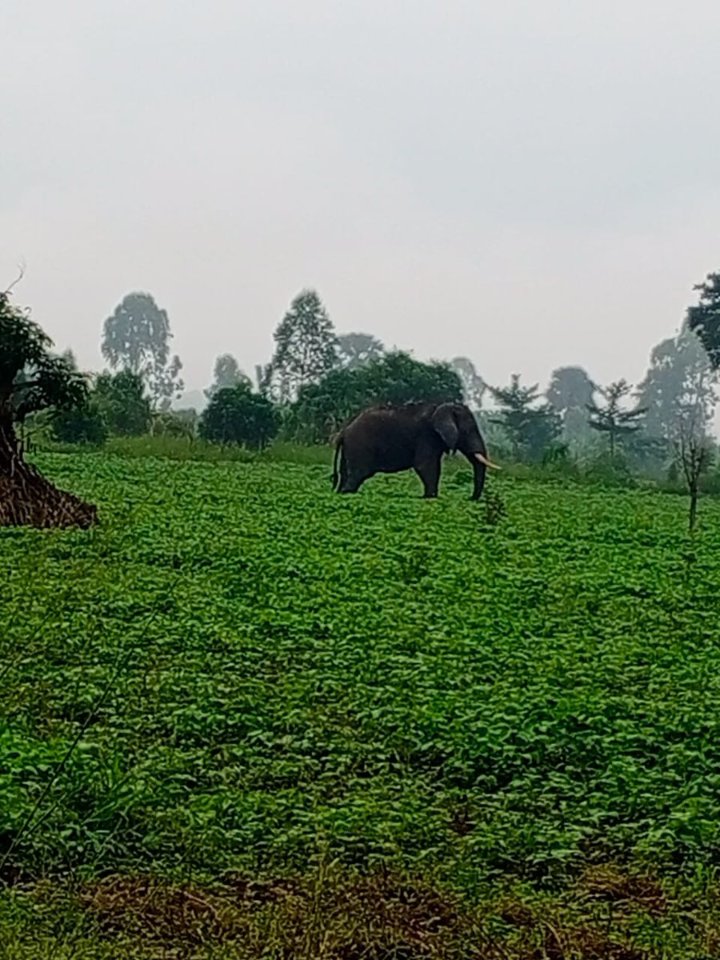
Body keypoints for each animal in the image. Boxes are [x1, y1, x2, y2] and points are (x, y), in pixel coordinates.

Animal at [331, 402, 499, 499]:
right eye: (468, 431)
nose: (469, 498)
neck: (441, 407)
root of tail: (344, 431)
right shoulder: (427, 436)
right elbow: (425, 467)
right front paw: (430, 498)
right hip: (359, 446)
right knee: (358, 475)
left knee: (345, 474)